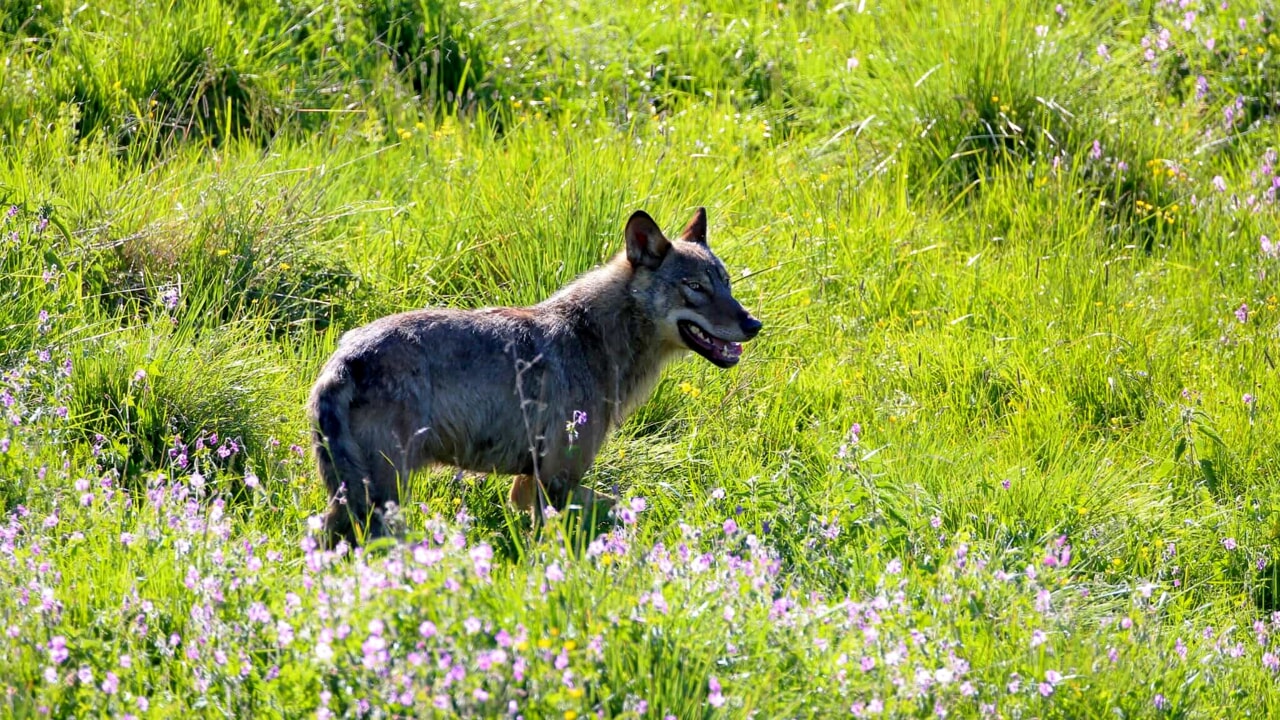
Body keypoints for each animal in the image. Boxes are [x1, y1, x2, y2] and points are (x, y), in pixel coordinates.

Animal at [307, 206, 757, 543]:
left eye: (727, 284)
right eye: (695, 287)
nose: (754, 324)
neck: (594, 336)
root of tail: (343, 359)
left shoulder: (528, 483)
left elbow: (622, 502)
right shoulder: (555, 479)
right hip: (382, 497)